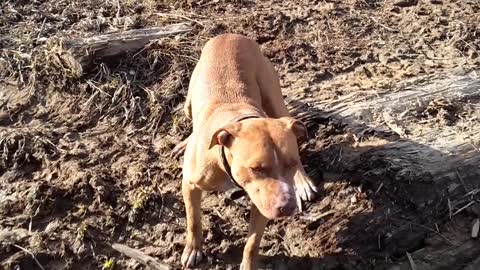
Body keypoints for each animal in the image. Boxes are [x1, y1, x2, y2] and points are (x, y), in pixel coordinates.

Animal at [174, 33, 316, 270]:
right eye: (256, 168)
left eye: (291, 164)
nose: (287, 206)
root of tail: (229, 35)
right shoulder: (190, 184)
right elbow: (193, 219)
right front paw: (193, 249)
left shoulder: (262, 202)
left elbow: (252, 243)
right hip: (188, 103)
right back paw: (186, 141)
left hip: (274, 98)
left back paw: (303, 182)